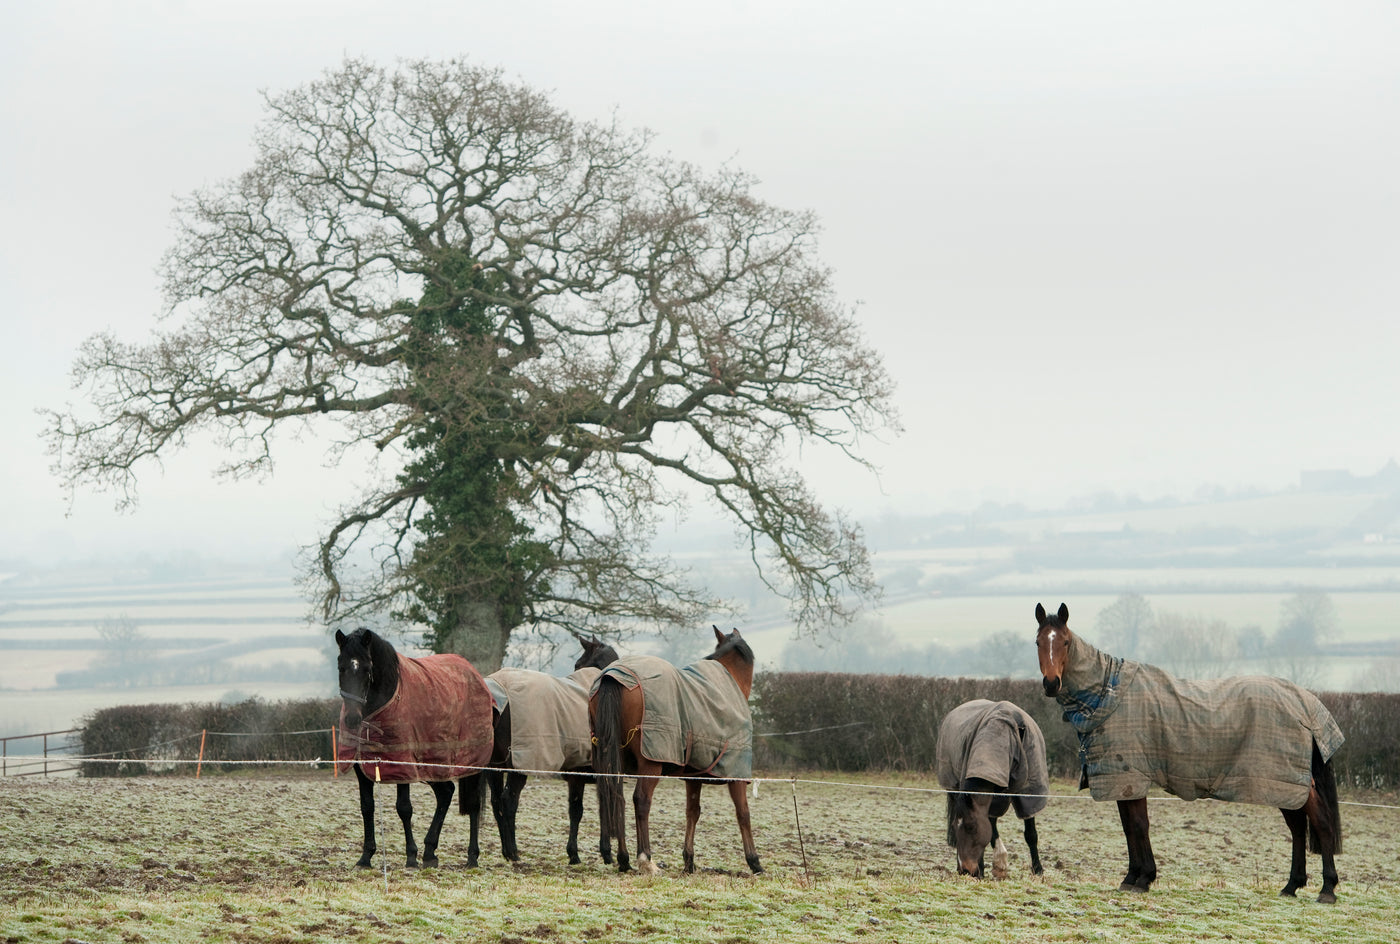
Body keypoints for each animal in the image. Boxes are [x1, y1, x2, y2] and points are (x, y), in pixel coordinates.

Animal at [336, 624, 495, 868]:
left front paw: (411, 856)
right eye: (341, 667)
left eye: (367, 668)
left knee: (474, 804)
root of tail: (476, 676)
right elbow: (367, 807)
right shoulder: (361, 767)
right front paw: (365, 857)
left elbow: (404, 807)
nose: (352, 719)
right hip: (432, 765)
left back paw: (471, 857)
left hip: (472, 763)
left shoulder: (402, 763)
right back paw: (430, 852)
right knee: (446, 793)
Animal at [470, 633, 618, 862]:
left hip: (495, 766)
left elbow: (576, 810)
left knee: (496, 802)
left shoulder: (576, 776)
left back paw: (503, 852)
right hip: (520, 765)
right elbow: (604, 810)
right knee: (508, 801)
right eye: (577, 664)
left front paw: (574, 854)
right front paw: (607, 854)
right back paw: (513, 852)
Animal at [590, 624, 767, 873]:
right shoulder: (736, 775)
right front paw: (754, 861)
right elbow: (743, 813)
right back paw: (646, 859)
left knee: (618, 799)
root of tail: (613, 675)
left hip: (611, 760)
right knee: (641, 800)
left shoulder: (693, 776)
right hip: (650, 764)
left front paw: (689, 861)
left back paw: (624, 859)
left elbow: (692, 812)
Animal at [935, 697, 1047, 873]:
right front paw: (998, 864)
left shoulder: (1029, 794)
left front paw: (1038, 870)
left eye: (971, 827)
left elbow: (1030, 834)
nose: (965, 870)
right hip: (952, 787)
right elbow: (991, 828)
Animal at [1030, 599, 1344, 901]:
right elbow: (1129, 826)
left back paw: (1327, 889)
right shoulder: (1121, 780)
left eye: (1065, 642)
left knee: (1320, 822)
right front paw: (1132, 877)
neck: (1110, 694)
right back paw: (1292, 885)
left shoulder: (1132, 777)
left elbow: (1139, 825)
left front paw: (1144, 878)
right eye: (1038, 642)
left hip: (1286, 780)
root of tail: (1305, 701)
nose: (1051, 683)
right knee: (1297, 828)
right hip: (1282, 784)